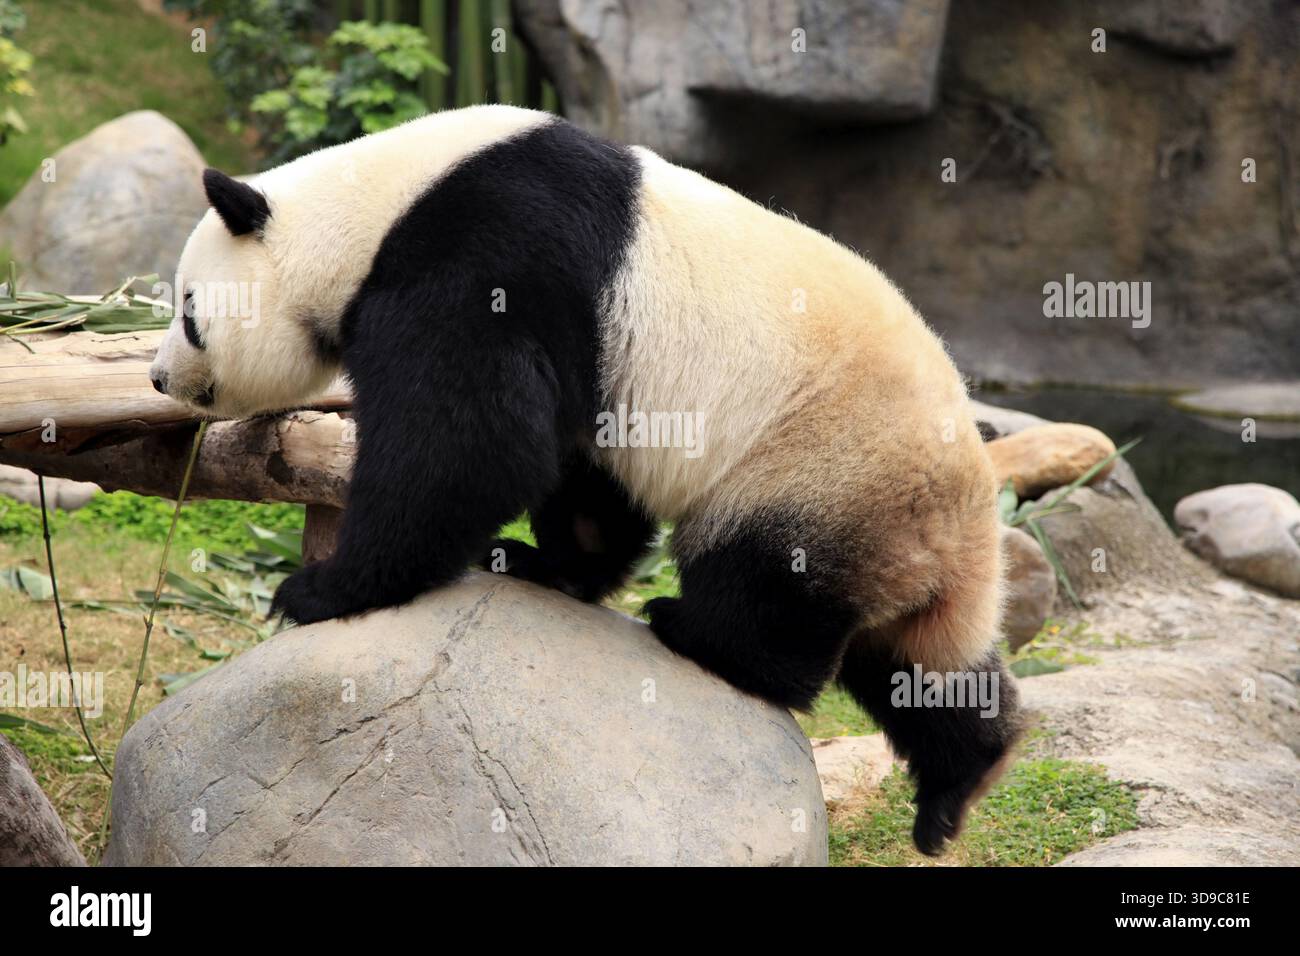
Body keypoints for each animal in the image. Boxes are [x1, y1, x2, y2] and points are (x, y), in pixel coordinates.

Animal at [149, 105, 1021, 855]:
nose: (160, 377)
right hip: (891, 540)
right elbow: (576, 470)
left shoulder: (487, 249)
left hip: (819, 468)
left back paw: (697, 633)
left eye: (189, 312)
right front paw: (547, 565)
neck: (371, 205)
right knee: (915, 666)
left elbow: (470, 439)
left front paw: (324, 589)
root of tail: (966, 517)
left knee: (770, 591)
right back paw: (960, 783)